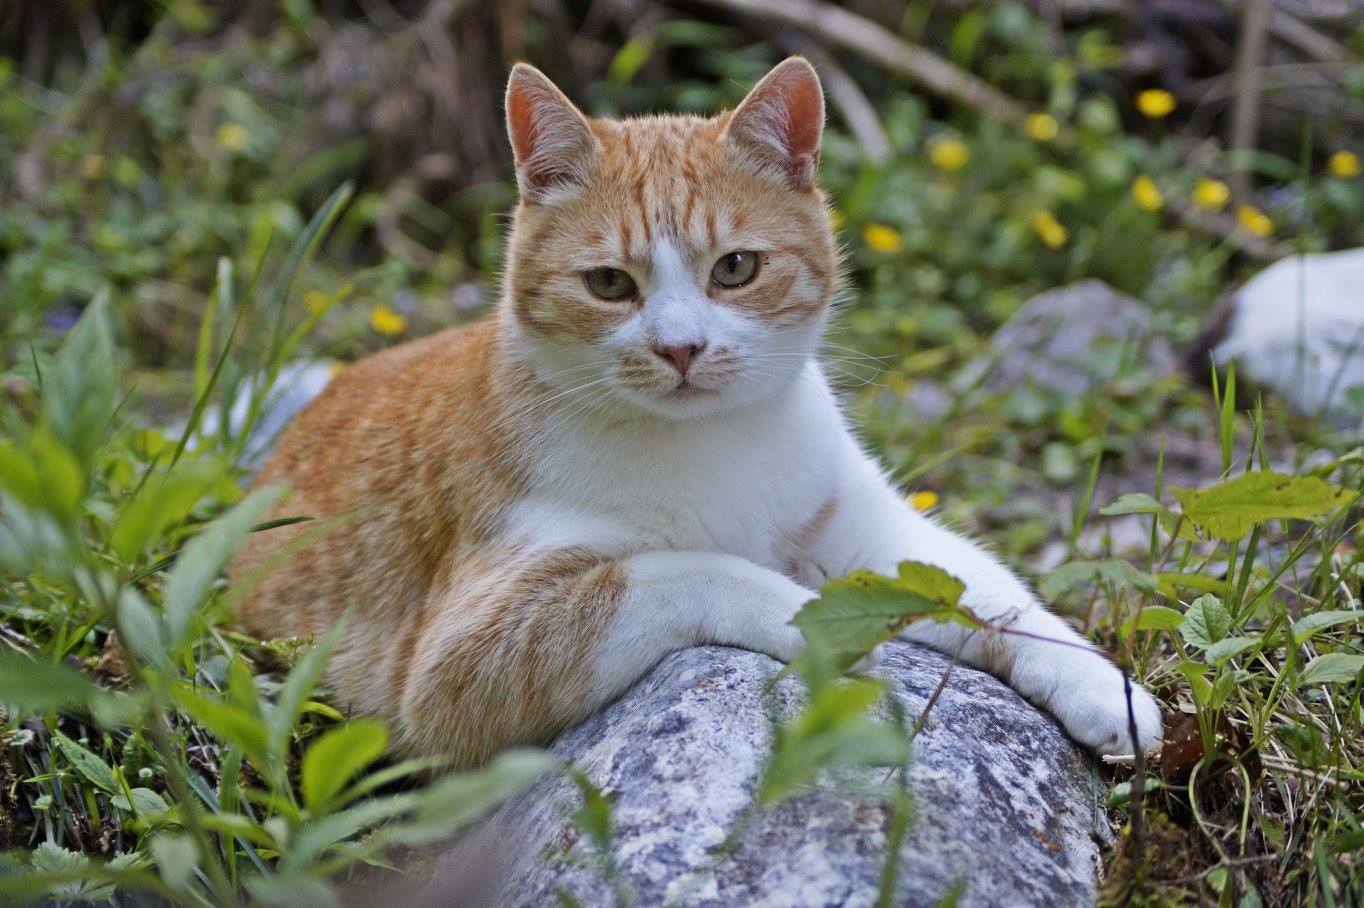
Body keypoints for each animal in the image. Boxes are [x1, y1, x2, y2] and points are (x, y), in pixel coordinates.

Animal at [231, 58, 1162, 763]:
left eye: (736, 268)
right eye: (610, 283)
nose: (680, 348)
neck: (710, 445)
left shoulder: (870, 524)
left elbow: (992, 595)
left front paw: (1100, 684)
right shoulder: (460, 664)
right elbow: (690, 570)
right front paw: (819, 626)